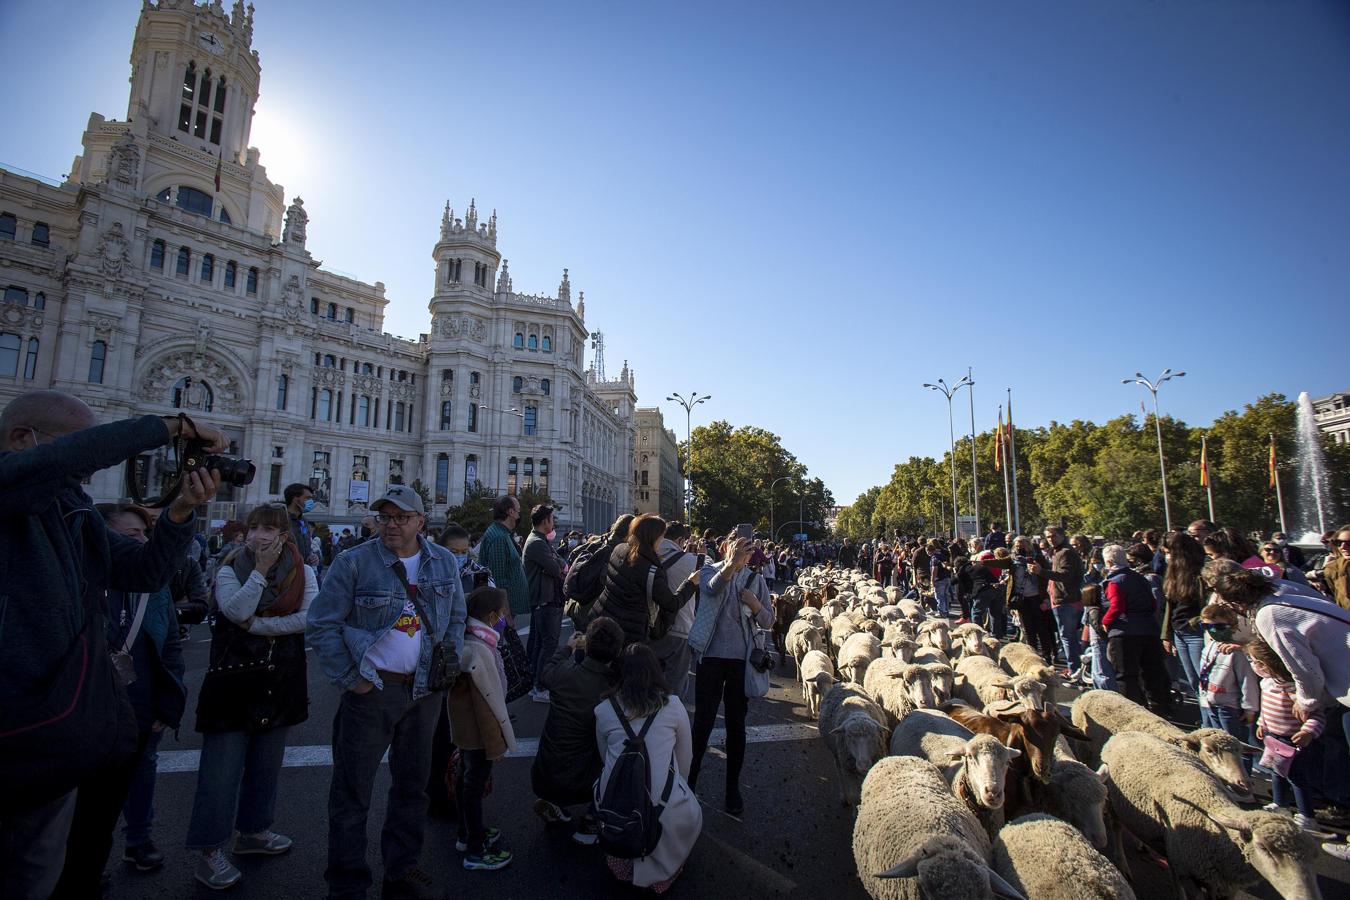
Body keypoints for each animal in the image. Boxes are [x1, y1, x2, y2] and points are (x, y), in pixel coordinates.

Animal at [1096, 734, 1317, 900]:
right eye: (1264, 848)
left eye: (1312, 857)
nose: (1245, 784)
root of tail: (1121, 735)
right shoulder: (1185, 866)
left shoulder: (1223, 886)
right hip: (1115, 804)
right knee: (1117, 829)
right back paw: (1124, 864)